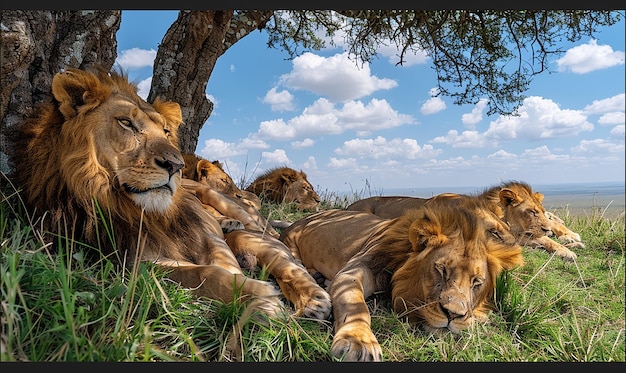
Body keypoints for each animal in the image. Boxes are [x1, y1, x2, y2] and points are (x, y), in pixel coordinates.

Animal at [344, 181, 576, 262]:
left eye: (542, 211)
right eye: (531, 212)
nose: (547, 229)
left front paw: (567, 242)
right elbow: (541, 240)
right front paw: (567, 250)